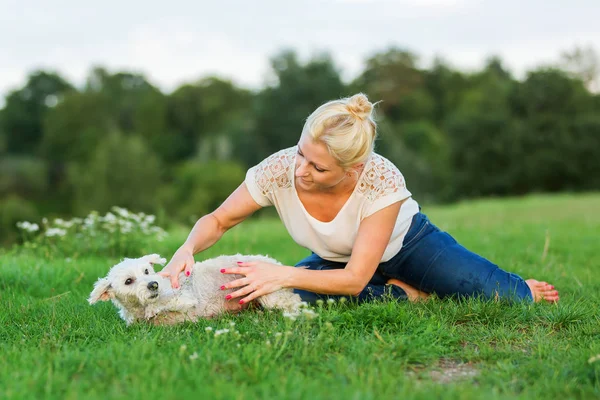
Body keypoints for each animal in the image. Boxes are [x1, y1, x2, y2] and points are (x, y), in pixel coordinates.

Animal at [88, 253, 304, 324]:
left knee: (294, 303)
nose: (153, 284)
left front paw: (153, 308)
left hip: (269, 294)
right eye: (128, 281)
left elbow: (162, 302)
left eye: (147, 271)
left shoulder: (184, 297)